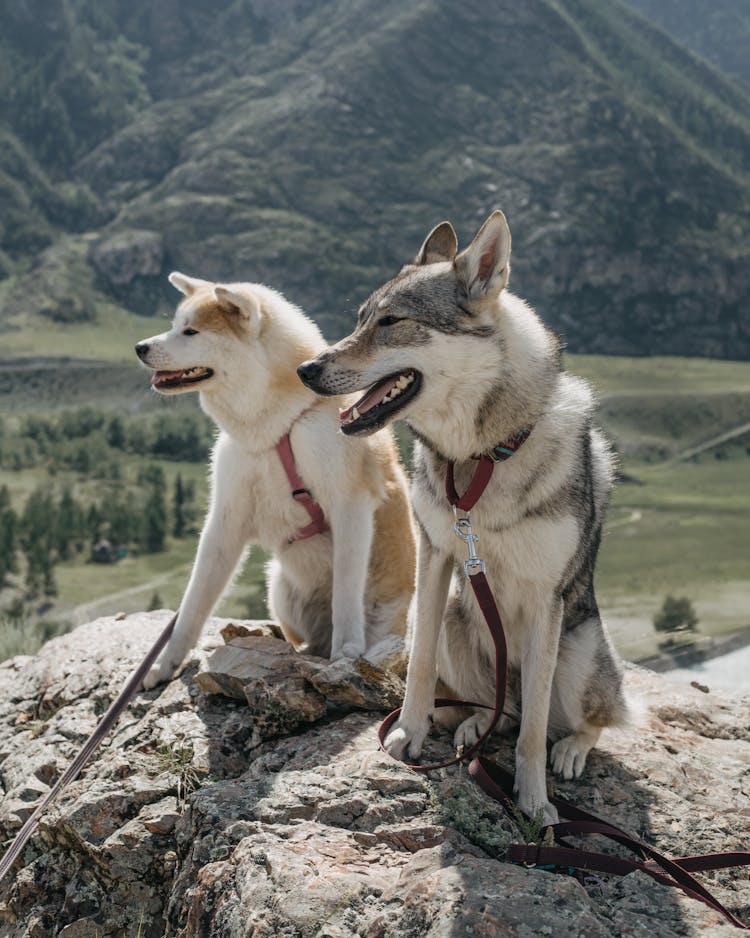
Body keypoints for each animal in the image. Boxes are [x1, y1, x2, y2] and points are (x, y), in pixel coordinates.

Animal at [135, 272, 418, 688]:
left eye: (191, 331)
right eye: (175, 326)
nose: (140, 347)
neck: (277, 427)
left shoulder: (349, 503)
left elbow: (346, 592)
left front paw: (346, 652)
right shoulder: (225, 520)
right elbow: (192, 605)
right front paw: (166, 663)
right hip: (280, 590)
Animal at [300, 210, 628, 820]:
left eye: (393, 322)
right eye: (361, 319)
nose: (306, 368)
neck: (481, 457)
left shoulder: (545, 599)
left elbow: (533, 732)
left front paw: (534, 801)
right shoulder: (436, 558)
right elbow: (420, 671)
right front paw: (406, 736)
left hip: (577, 651)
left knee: (574, 717)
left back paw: (570, 750)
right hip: (458, 617)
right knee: (494, 707)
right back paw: (474, 727)